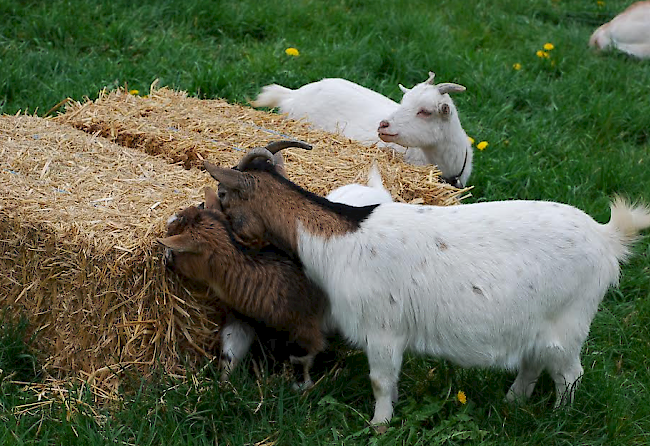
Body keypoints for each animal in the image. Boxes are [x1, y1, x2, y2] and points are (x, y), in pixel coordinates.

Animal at [205, 141, 648, 426]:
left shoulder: (383, 328)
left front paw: (379, 425)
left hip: (568, 322)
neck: (341, 236)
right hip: (538, 323)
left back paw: (557, 419)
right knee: (533, 361)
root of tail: (607, 237)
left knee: (570, 376)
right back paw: (512, 402)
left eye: (224, 195)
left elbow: (380, 381)